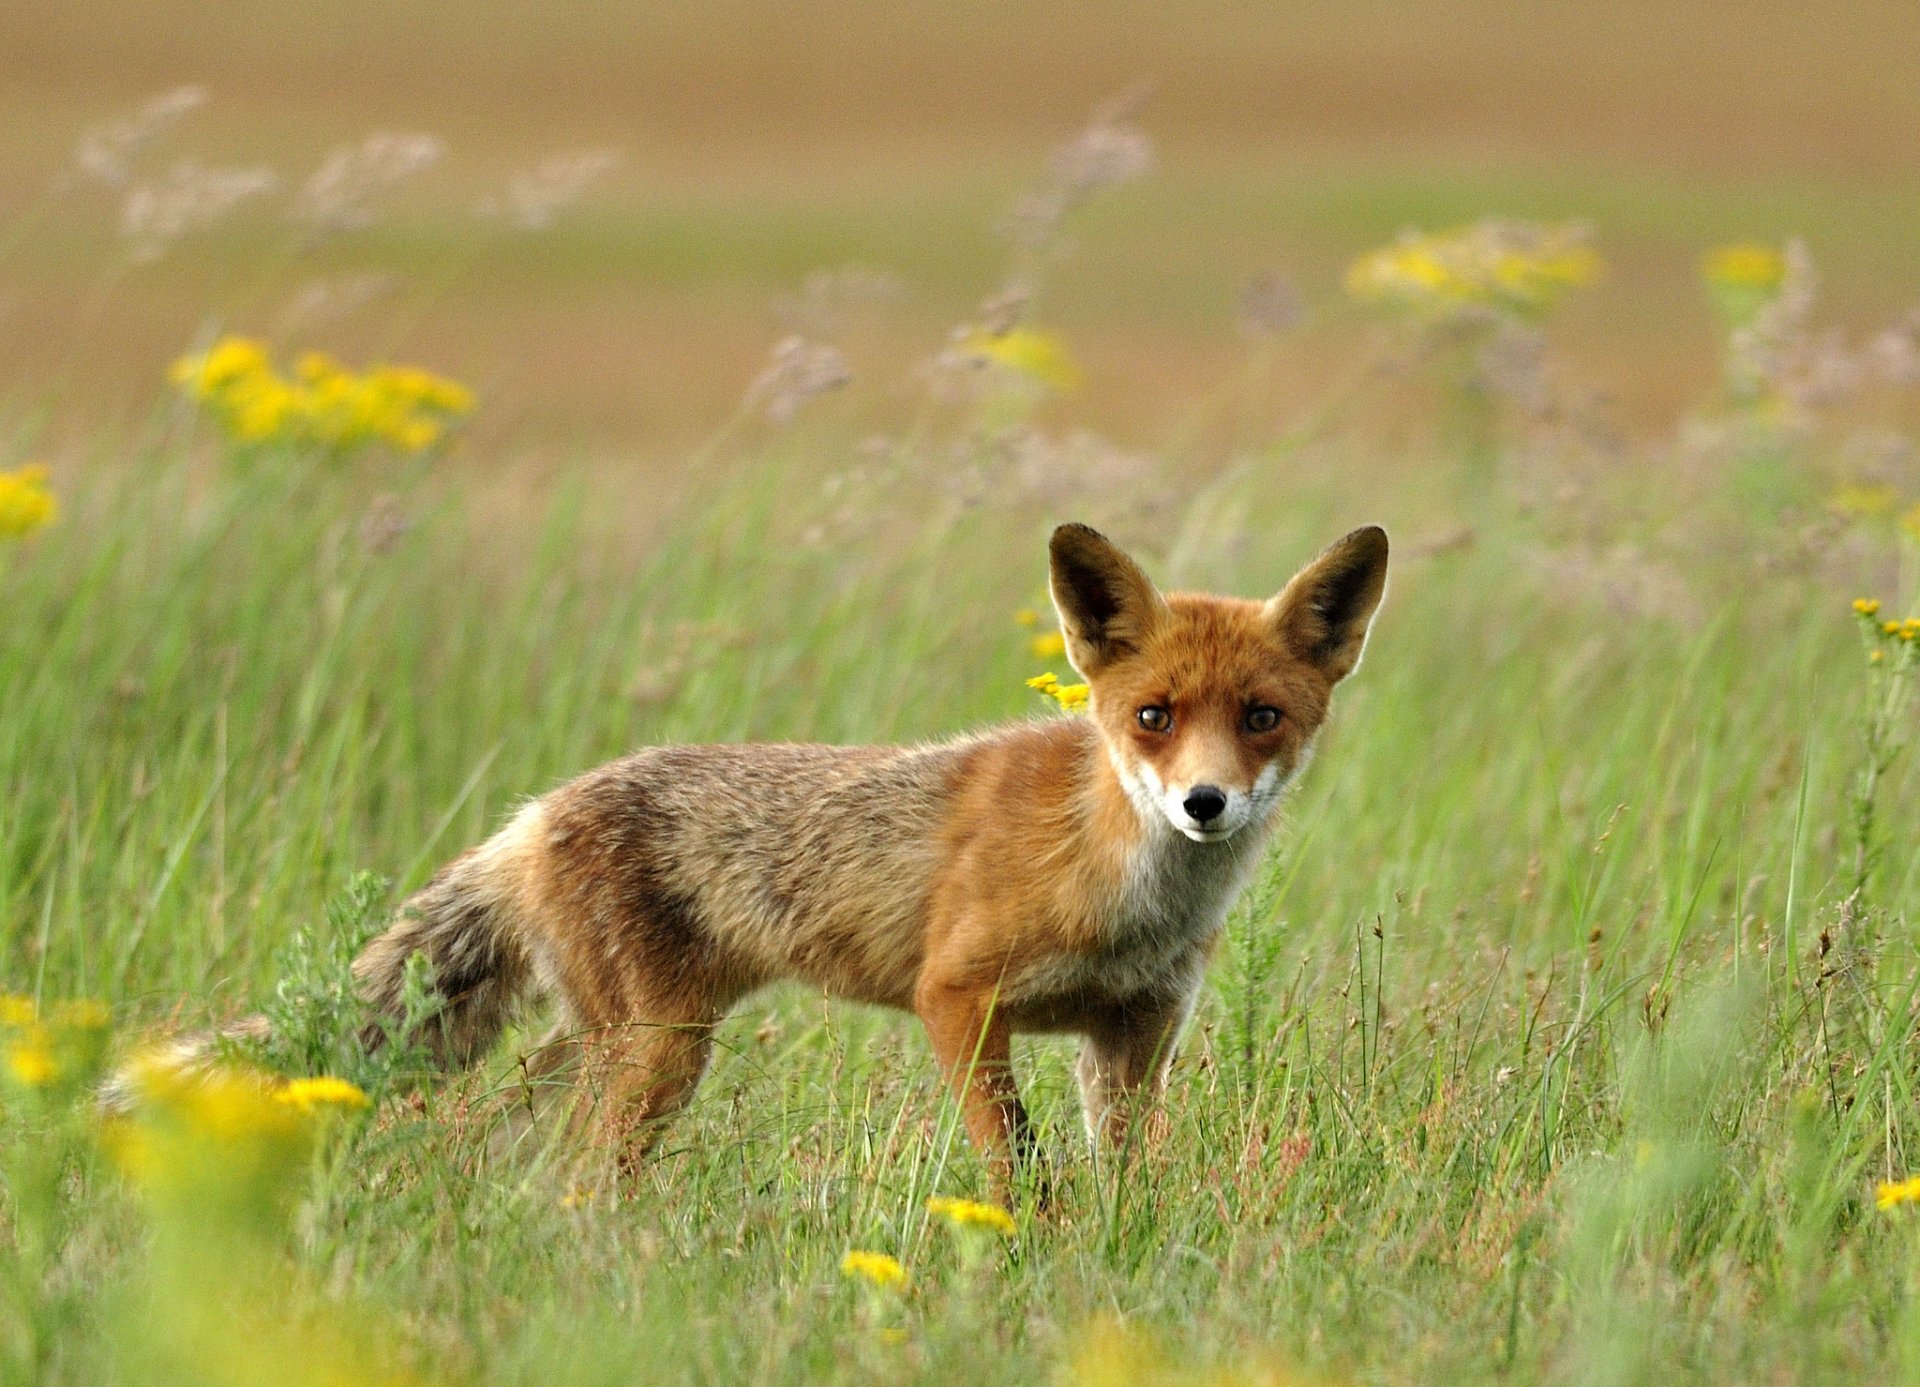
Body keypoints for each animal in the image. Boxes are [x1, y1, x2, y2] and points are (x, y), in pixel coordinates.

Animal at [280, 518, 1382, 1175]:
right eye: (1154, 716)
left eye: (1262, 717)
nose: (1205, 803)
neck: (1123, 891)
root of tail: (537, 808)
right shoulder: (957, 997)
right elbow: (1017, 1166)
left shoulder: (1134, 1033)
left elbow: (1126, 1177)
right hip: (656, 1053)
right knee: (568, 1175)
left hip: (603, 1046)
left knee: (478, 1135)